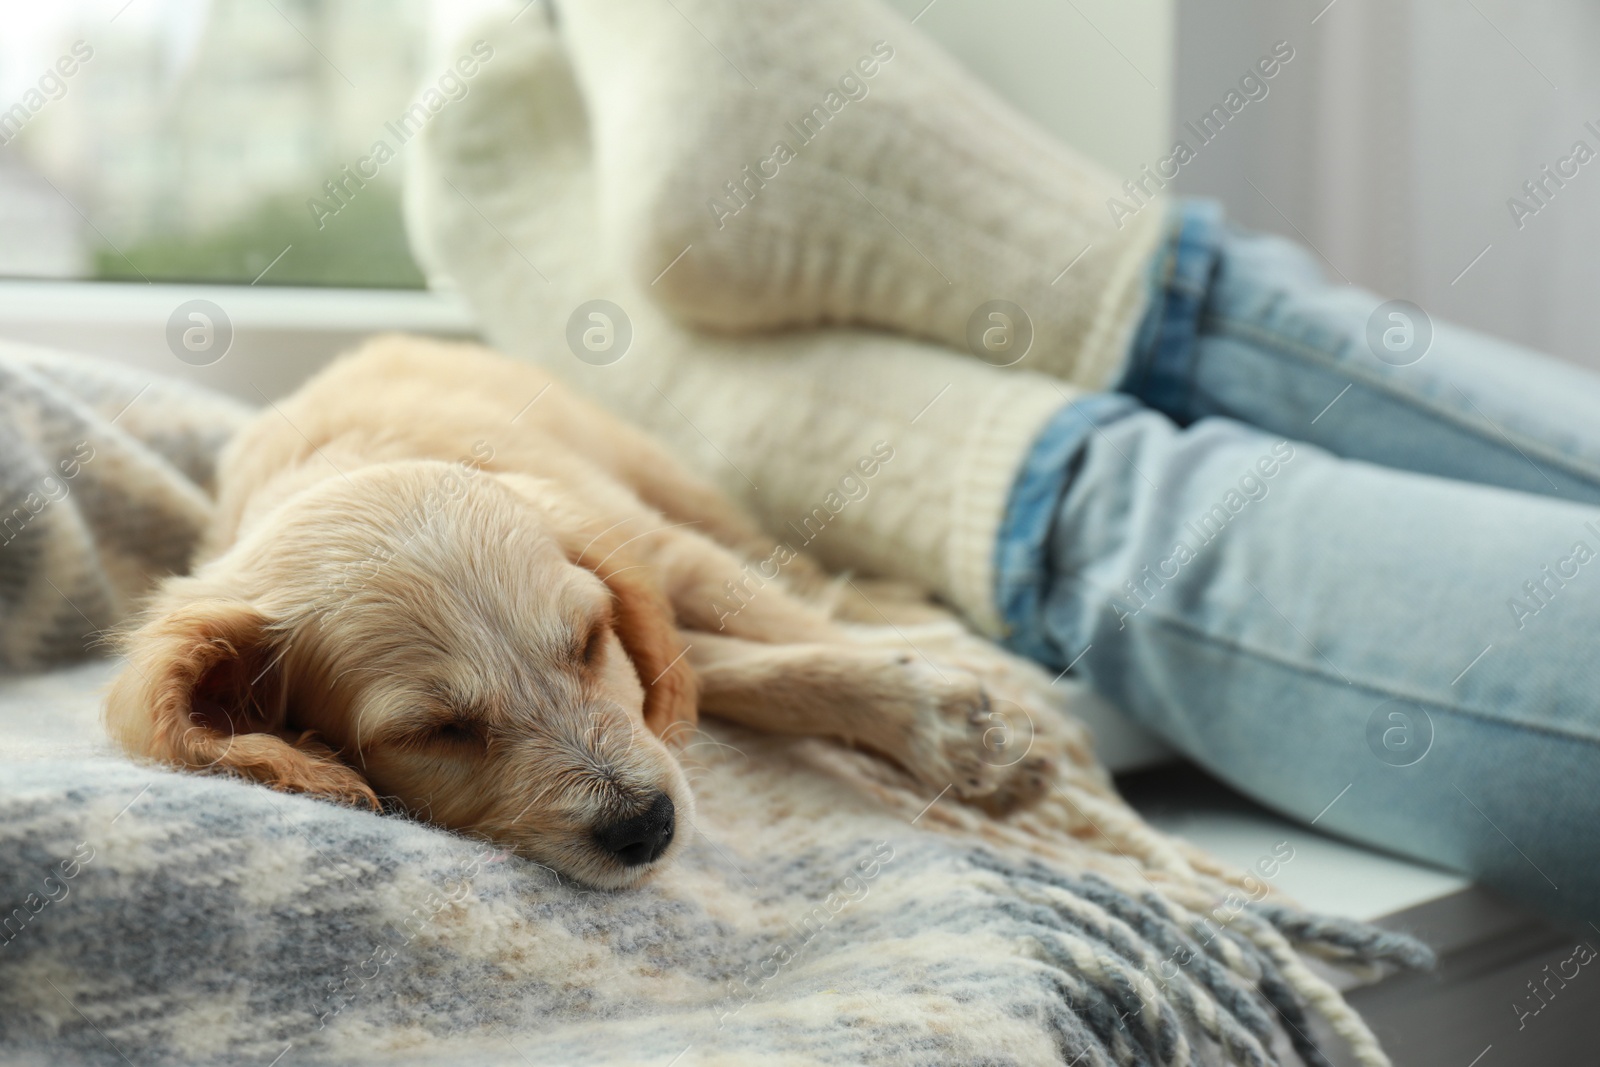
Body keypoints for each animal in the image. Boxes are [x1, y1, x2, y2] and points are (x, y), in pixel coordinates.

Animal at [103, 337, 1049, 889]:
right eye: (433, 731)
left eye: (589, 642)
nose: (649, 827)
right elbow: (725, 671)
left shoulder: (659, 553)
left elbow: (789, 634)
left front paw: (961, 729)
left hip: (672, 484)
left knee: (800, 571)